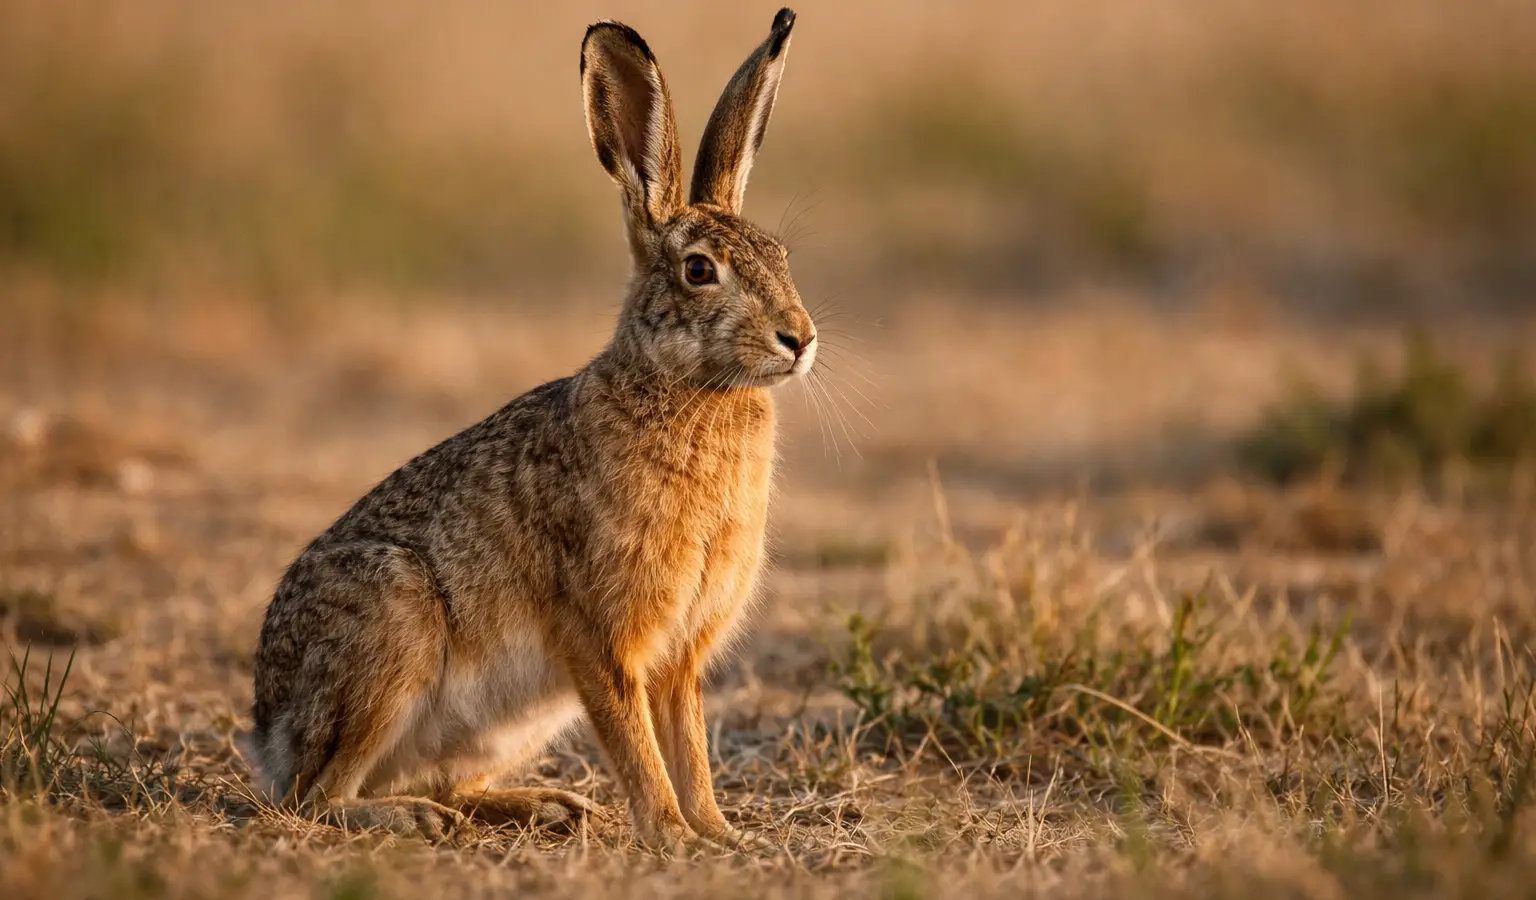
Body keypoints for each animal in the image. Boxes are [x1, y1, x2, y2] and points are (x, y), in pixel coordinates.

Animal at [240, 8, 812, 853]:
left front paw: (717, 832)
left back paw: (546, 806)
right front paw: (671, 834)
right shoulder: (598, 634)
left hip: (503, 723)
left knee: (444, 780)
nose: (799, 339)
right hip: (391, 632)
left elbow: (689, 745)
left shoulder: (680, 657)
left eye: (781, 254)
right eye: (699, 271)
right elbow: (637, 745)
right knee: (314, 796)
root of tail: (266, 731)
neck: (690, 389)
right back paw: (413, 818)